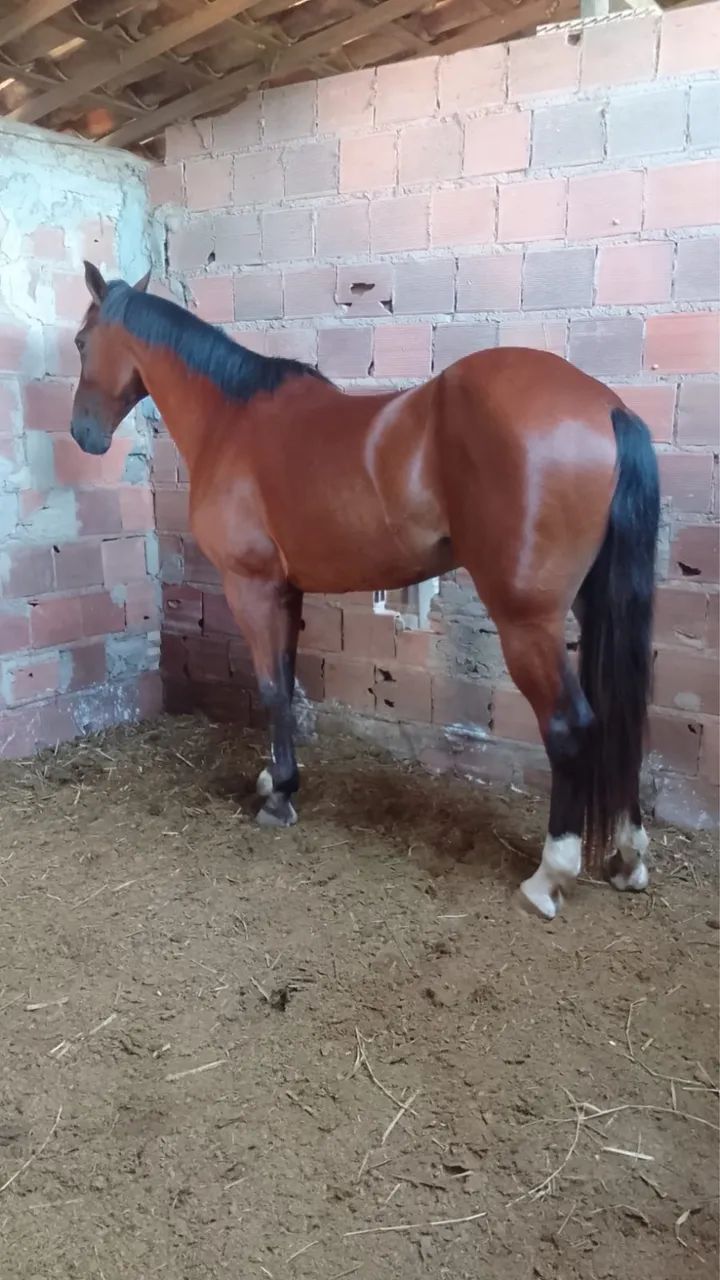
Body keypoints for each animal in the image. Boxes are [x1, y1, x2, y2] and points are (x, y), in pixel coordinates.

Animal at [69, 262, 660, 920]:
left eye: (81, 342)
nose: (83, 434)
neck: (233, 418)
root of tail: (606, 406)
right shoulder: (287, 590)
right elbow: (287, 685)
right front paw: (278, 778)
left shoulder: (251, 586)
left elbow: (270, 688)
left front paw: (279, 798)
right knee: (618, 720)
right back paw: (628, 857)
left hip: (527, 621)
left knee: (570, 726)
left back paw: (549, 874)